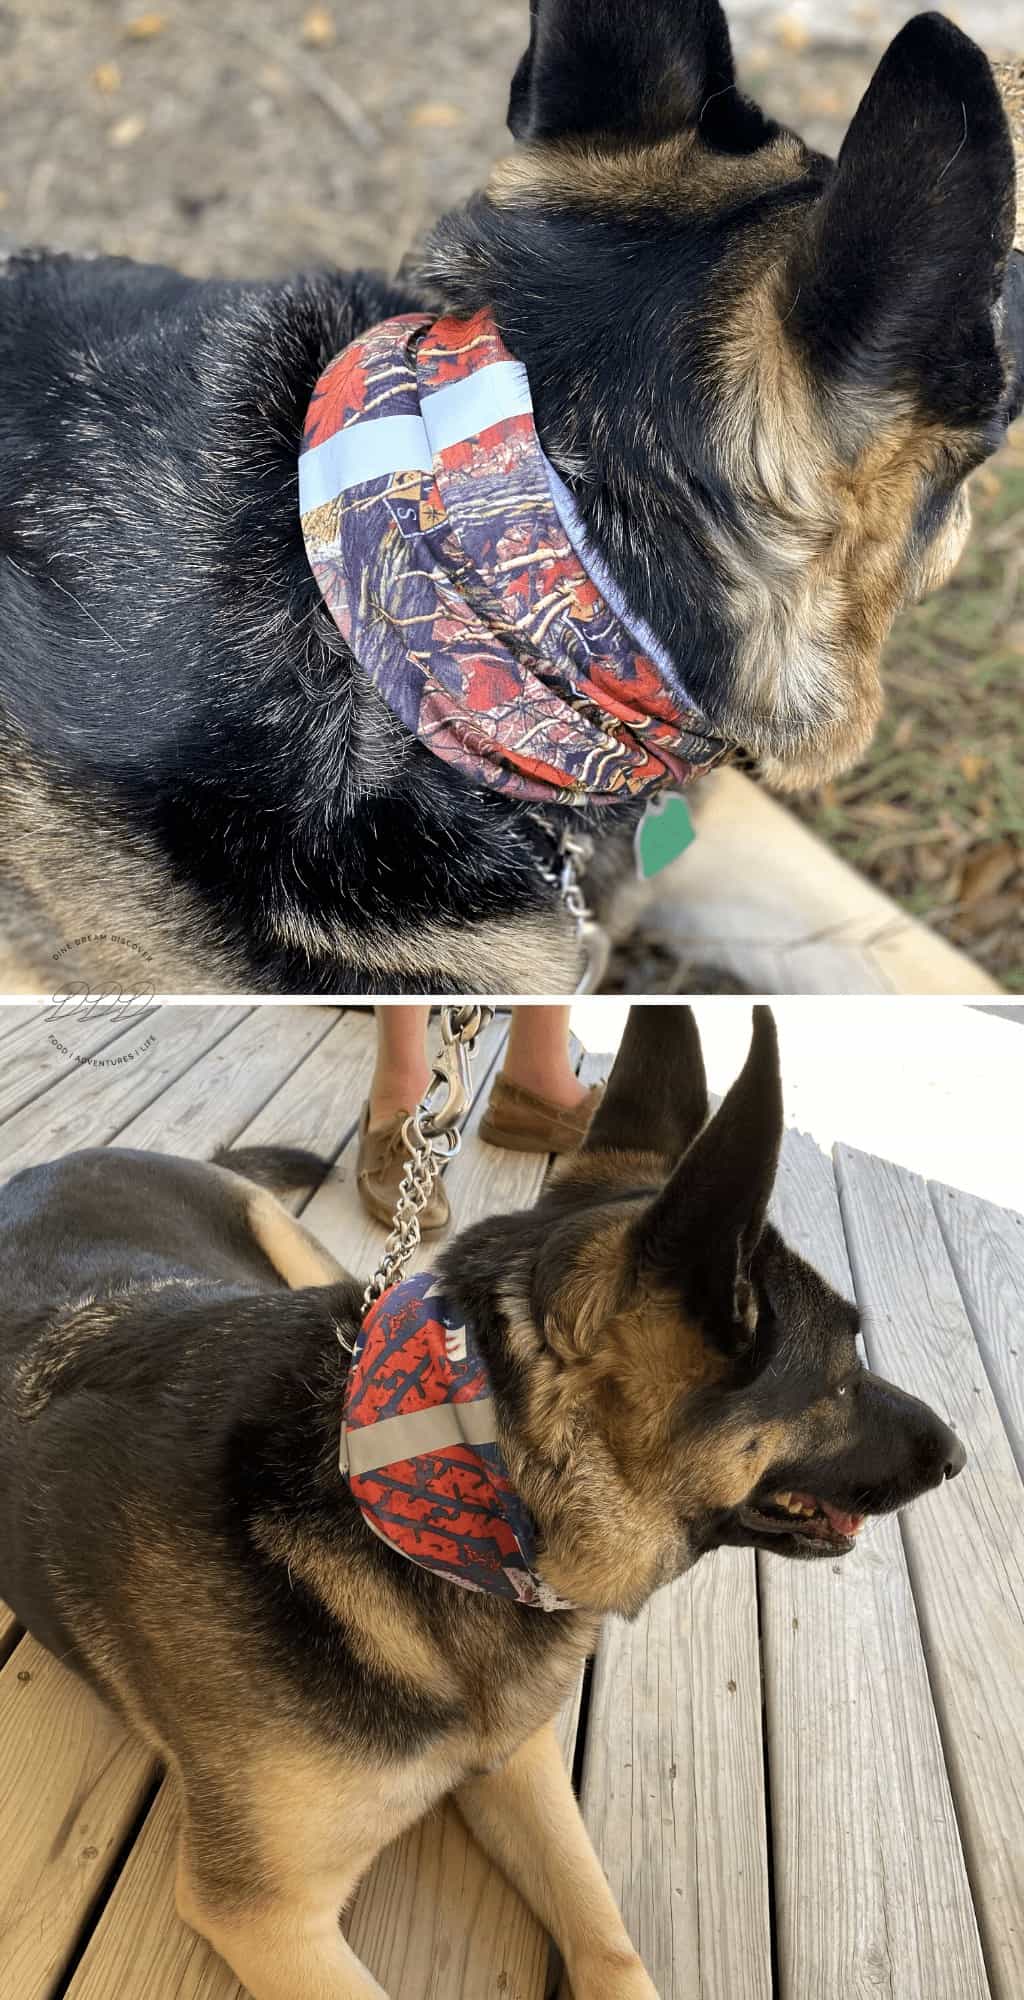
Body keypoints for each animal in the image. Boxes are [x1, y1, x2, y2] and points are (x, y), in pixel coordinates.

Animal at [0, 1016, 960, 2000]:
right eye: (841, 1377)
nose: (960, 1456)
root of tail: (64, 1158)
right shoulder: (267, 1916)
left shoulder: (520, 1763)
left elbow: (607, 1936)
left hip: (317, 1267)